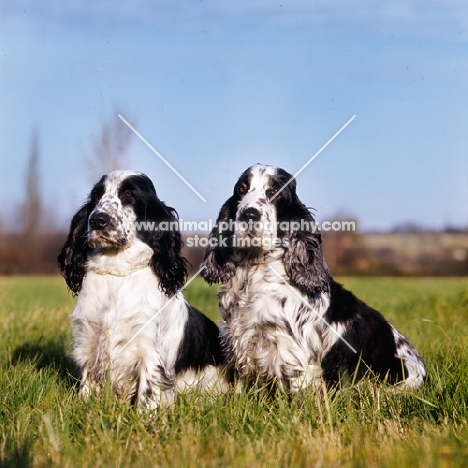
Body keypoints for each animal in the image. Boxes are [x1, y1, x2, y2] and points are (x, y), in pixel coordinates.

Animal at [59, 170, 228, 408]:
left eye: (129, 194)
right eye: (96, 195)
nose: (98, 220)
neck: (118, 274)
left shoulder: (149, 350)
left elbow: (147, 394)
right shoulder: (89, 341)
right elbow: (87, 386)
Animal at [203, 165, 426, 392]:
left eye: (276, 192)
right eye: (241, 189)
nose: (249, 214)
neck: (254, 273)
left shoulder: (291, 356)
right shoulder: (237, 341)